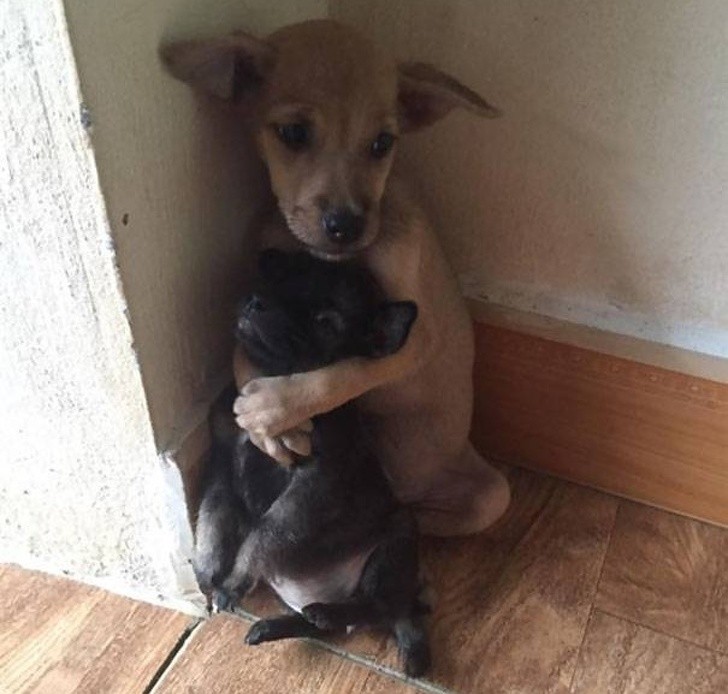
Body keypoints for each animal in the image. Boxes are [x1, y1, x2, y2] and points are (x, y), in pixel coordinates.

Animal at [162, 19, 510, 536]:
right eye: (293, 133)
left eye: (382, 144)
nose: (345, 226)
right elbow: (246, 350)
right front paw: (269, 427)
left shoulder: (416, 337)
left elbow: (344, 371)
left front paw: (274, 408)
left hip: (491, 495)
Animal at [195, 250, 432, 680]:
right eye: (281, 282)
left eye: (326, 321)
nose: (256, 301)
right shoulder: (221, 467)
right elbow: (211, 520)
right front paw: (207, 571)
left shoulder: (311, 487)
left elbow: (260, 536)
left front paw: (234, 581)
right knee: (331, 624)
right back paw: (275, 626)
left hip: (397, 540)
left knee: (377, 605)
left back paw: (327, 611)